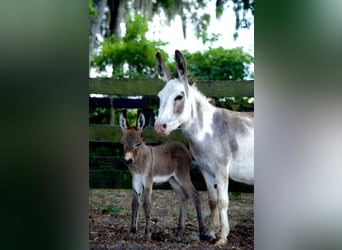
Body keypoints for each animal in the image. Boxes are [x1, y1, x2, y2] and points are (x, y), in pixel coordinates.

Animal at [119, 110, 210, 241]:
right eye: (122, 144)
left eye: (137, 144)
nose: (128, 161)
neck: (139, 161)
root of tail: (184, 147)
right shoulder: (135, 181)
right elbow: (135, 204)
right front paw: (132, 231)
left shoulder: (148, 180)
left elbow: (147, 204)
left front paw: (147, 234)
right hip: (173, 180)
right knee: (183, 198)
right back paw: (179, 232)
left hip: (182, 176)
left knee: (194, 195)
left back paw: (202, 233)